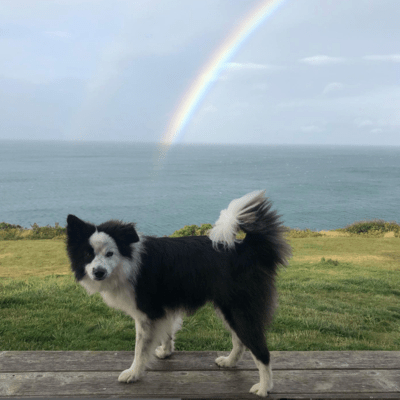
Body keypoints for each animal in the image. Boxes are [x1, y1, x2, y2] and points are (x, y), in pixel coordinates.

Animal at [65, 191, 290, 396]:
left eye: (110, 253)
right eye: (87, 254)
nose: (98, 272)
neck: (127, 264)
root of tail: (246, 248)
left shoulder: (147, 313)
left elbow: (140, 348)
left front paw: (133, 373)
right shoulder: (162, 310)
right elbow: (166, 332)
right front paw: (166, 352)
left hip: (239, 308)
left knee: (260, 350)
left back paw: (264, 387)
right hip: (228, 308)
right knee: (240, 340)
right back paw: (229, 362)